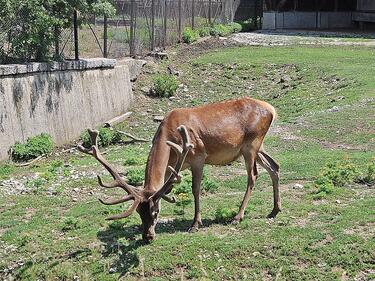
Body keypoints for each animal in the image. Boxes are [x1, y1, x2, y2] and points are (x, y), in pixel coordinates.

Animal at [78, 96, 280, 241]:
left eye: (155, 211)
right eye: (139, 212)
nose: (147, 237)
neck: (169, 137)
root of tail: (272, 109)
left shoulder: (198, 157)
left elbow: (195, 189)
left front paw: (195, 224)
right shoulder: (173, 168)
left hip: (251, 145)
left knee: (253, 175)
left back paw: (238, 216)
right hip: (258, 146)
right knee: (274, 166)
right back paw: (275, 210)